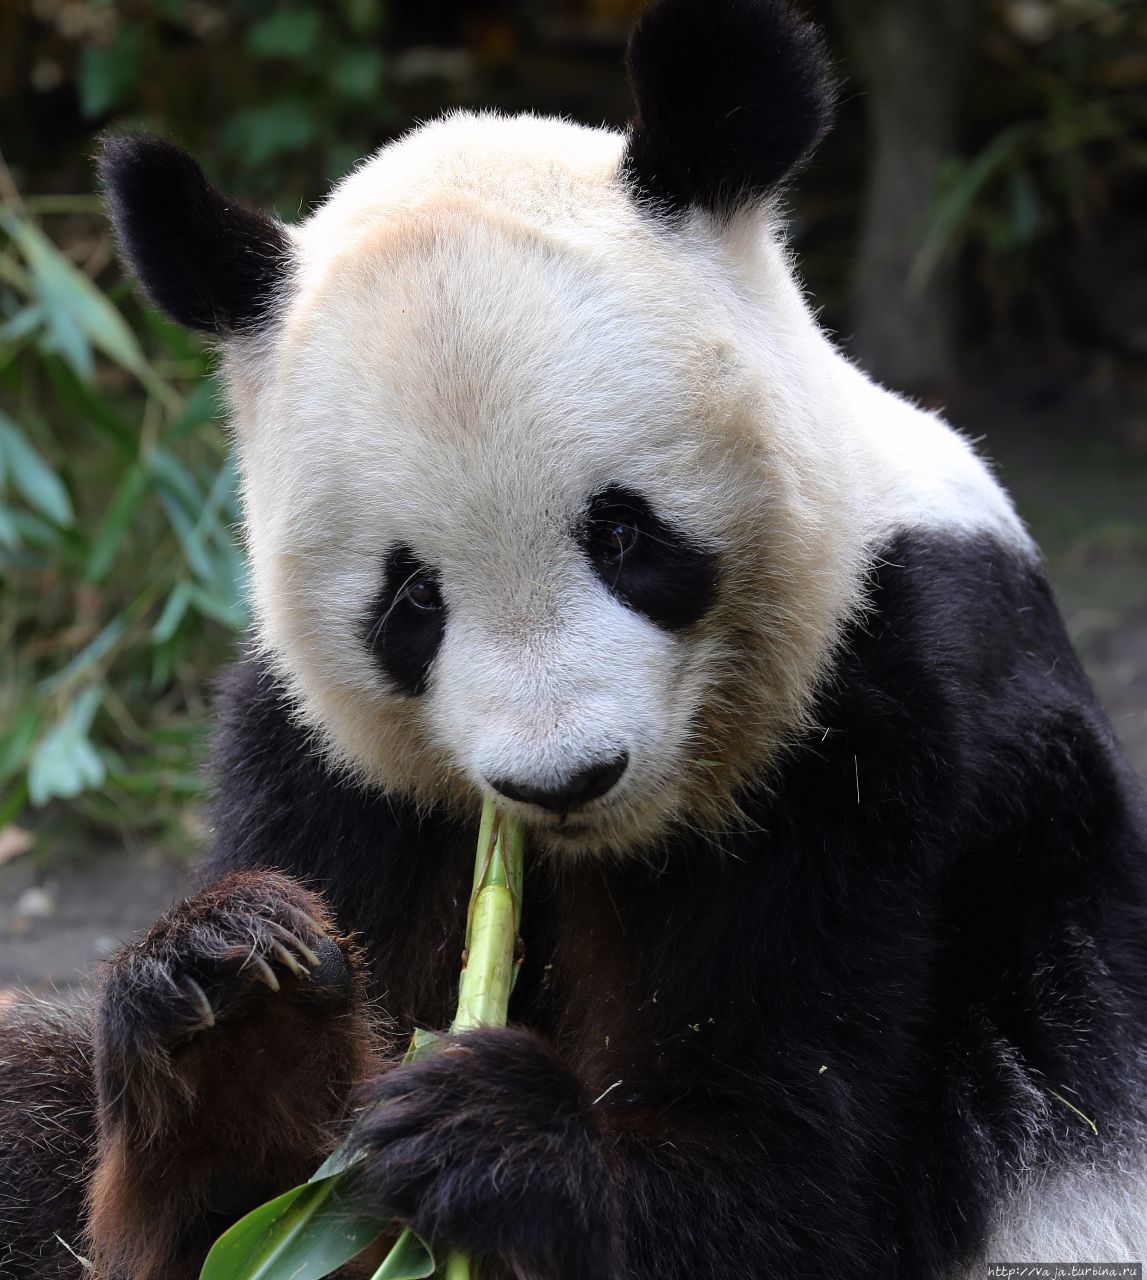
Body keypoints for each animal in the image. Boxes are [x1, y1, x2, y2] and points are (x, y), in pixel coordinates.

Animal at [2, 0, 1147, 1274]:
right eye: (411, 601)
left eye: (623, 533)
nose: (562, 777)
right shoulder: (325, 768)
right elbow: (244, 1213)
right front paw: (236, 1002)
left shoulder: (904, 718)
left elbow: (801, 1187)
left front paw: (496, 1132)